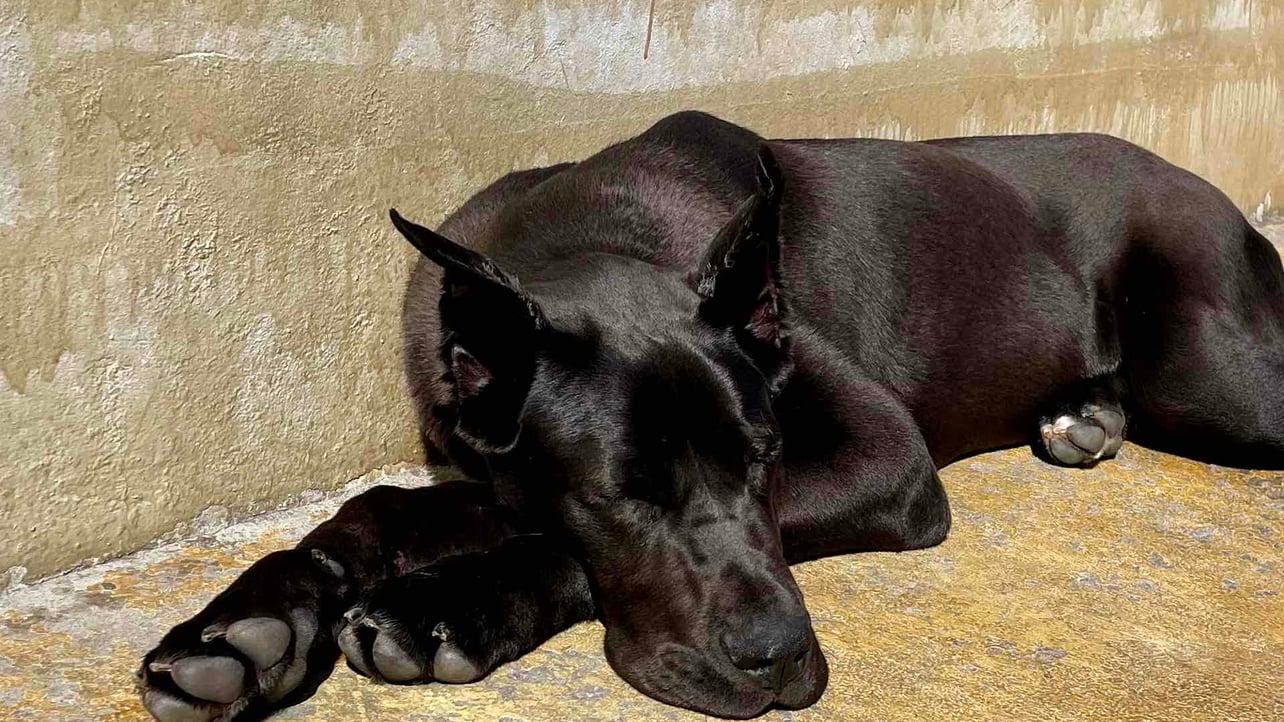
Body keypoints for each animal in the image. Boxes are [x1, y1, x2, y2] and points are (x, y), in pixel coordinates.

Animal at [138, 111, 1284, 721]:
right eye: (622, 491)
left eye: (765, 459)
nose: (777, 662)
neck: (591, 238)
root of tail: (1203, 182)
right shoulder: (486, 465)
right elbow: (385, 510)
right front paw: (245, 630)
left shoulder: (889, 458)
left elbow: (550, 545)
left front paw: (445, 607)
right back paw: (1081, 414)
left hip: (1212, 372)